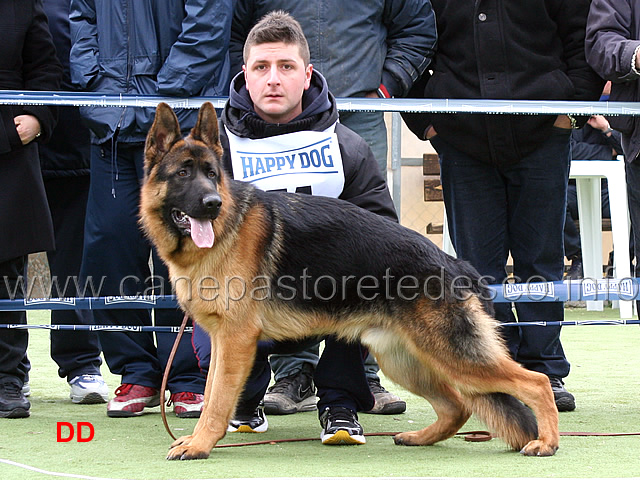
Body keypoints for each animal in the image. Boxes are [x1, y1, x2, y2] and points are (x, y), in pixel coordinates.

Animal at [141, 103, 560, 460]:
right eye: (183, 173)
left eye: (212, 174)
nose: (212, 203)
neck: (227, 227)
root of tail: (457, 264)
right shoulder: (223, 342)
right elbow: (212, 392)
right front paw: (199, 440)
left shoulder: (235, 341)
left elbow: (216, 401)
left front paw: (200, 445)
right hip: (405, 360)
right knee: (457, 406)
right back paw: (420, 437)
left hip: (453, 357)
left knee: (535, 381)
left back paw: (547, 442)